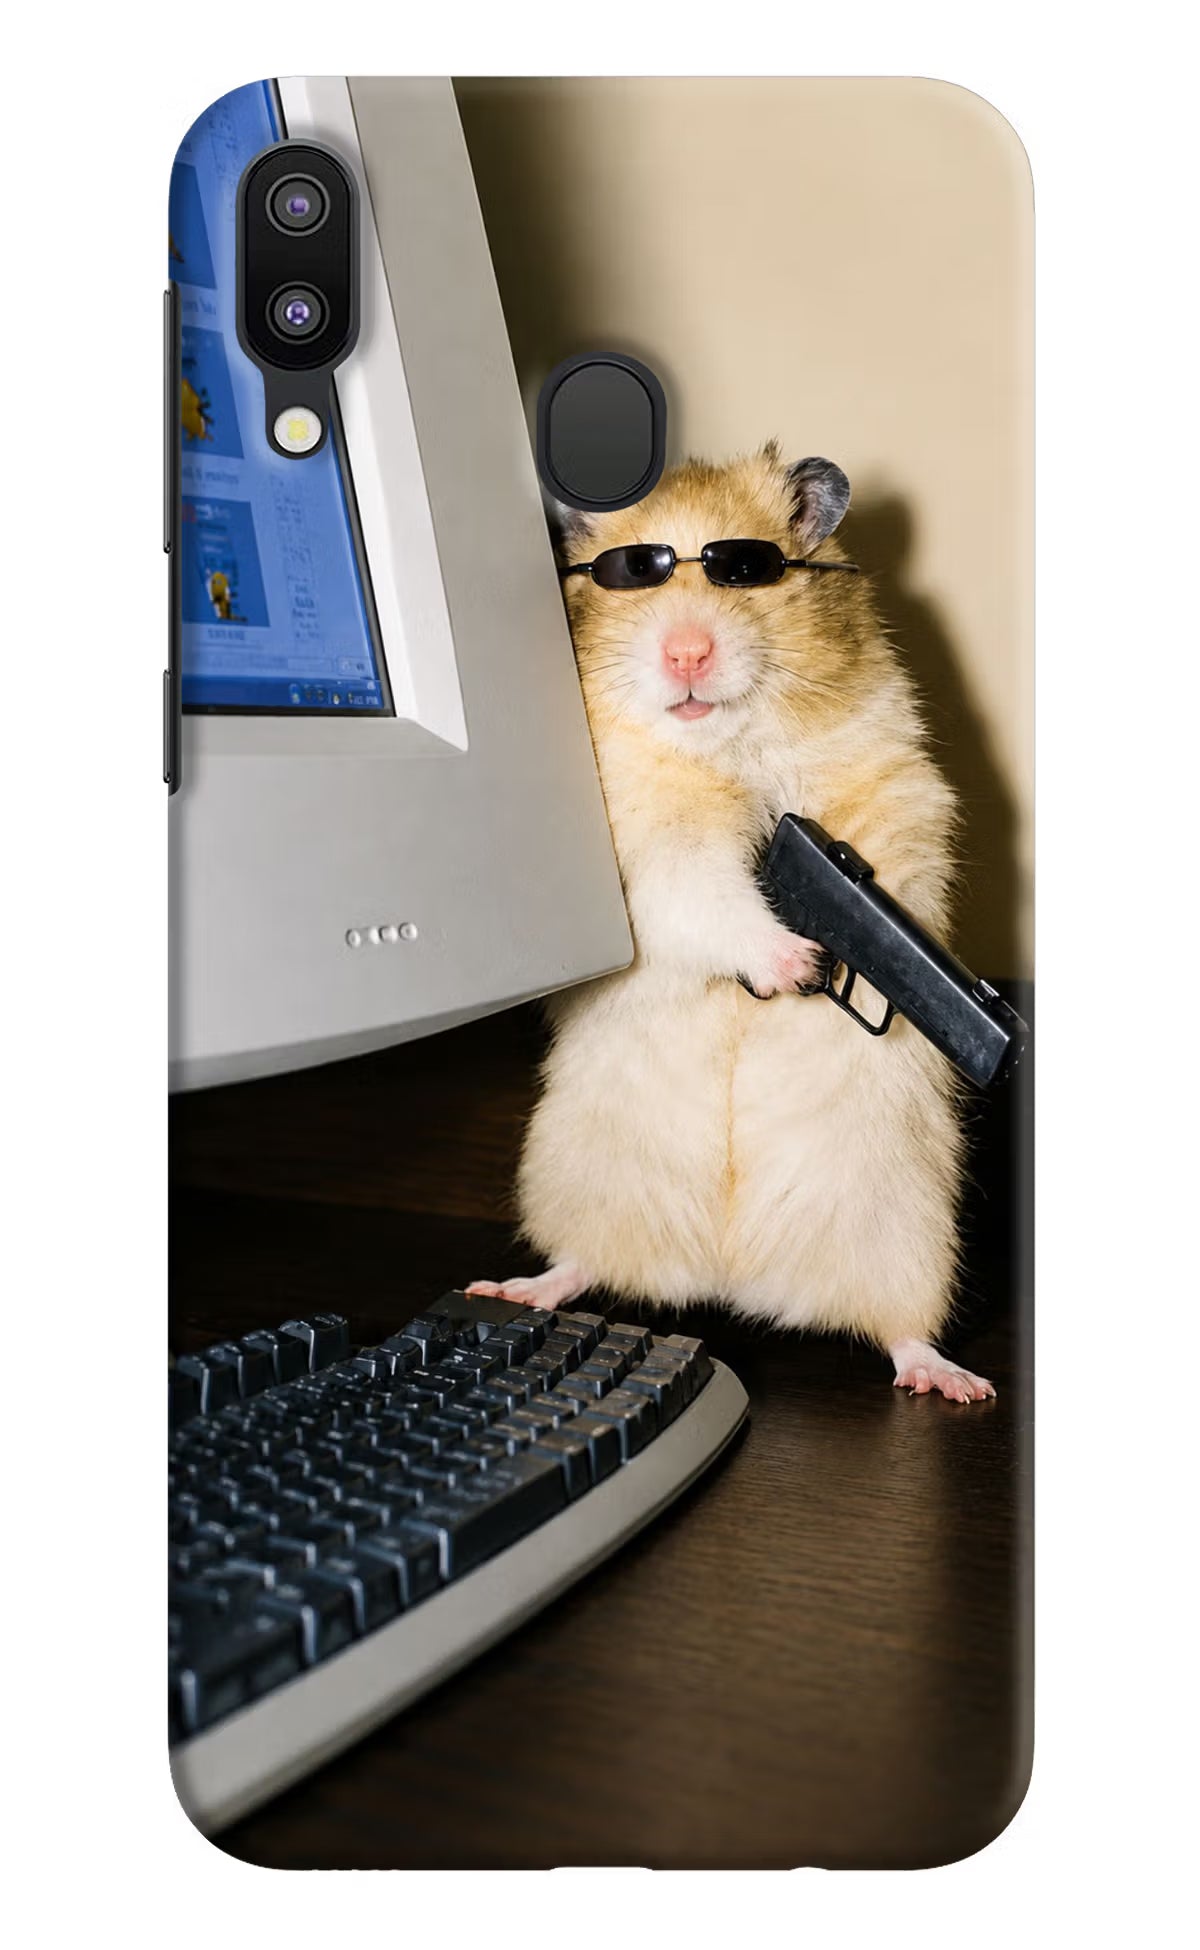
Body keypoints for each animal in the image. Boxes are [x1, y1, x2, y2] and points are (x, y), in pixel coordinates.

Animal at [468, 444, 993, 1402]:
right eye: (632, 575)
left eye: (746, 571)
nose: (686, 652)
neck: (727, 746)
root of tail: (730, 1276)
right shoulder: (650, 850)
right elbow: (707, 895)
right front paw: (797, 964)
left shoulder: (895, 791)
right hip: (579, 1177)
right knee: (582, 1263)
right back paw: (515, 1288)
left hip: (908, 1230)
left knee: (900, 1329)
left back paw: (954, 1382)